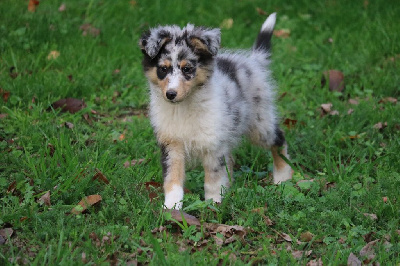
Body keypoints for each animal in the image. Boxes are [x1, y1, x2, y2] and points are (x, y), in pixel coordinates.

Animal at [139, 13, 292, 210]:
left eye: (187, 69)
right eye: (163, 69)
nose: (170, 94)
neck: (183, 108)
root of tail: (252, 61)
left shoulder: (213, 145)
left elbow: (213, 179)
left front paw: (213, 205)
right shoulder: (172, 145)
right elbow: (172, 179)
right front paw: (171, 208)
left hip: (259, 124)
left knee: (279, 139)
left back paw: (283, 177)